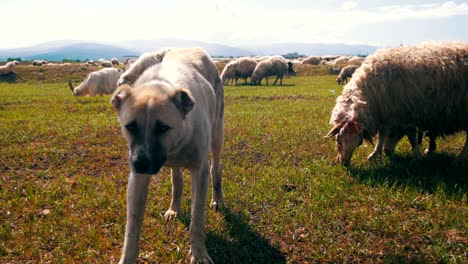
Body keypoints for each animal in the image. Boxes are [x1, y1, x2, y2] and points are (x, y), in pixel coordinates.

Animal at [111, 48, 225, 264]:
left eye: (163, 128)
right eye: (131, 127)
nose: (140, 164)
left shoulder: (199, 171)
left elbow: (197, 218)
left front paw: (199, 253)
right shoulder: (137, 180)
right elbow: (132, 226)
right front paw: (127, 257)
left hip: (217, 136)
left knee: (216, 170)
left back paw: (218, 199)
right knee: (177, 181)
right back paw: (174, 208)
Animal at [326, 41, 468, 165]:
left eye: (359, 143)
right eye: (338, 141)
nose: (344, 163)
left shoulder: (406, 115)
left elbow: (412, 138)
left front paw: (417, 158)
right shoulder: (388, 114)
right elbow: (382, 136)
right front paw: (375, 153)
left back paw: (460, 159)